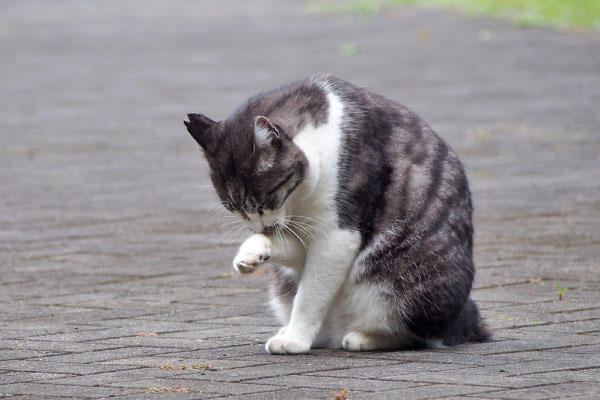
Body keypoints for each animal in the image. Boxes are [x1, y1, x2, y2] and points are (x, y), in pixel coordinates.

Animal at [185, 74, 490, 354]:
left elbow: (310, 296)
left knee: (417, 334)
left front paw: (295, 339)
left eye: (266, 200)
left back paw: (363, 337)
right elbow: (291, 252)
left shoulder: (338, 236)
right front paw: (252, 252)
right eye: (233, 208)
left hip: (411, 286)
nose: (259, 228)